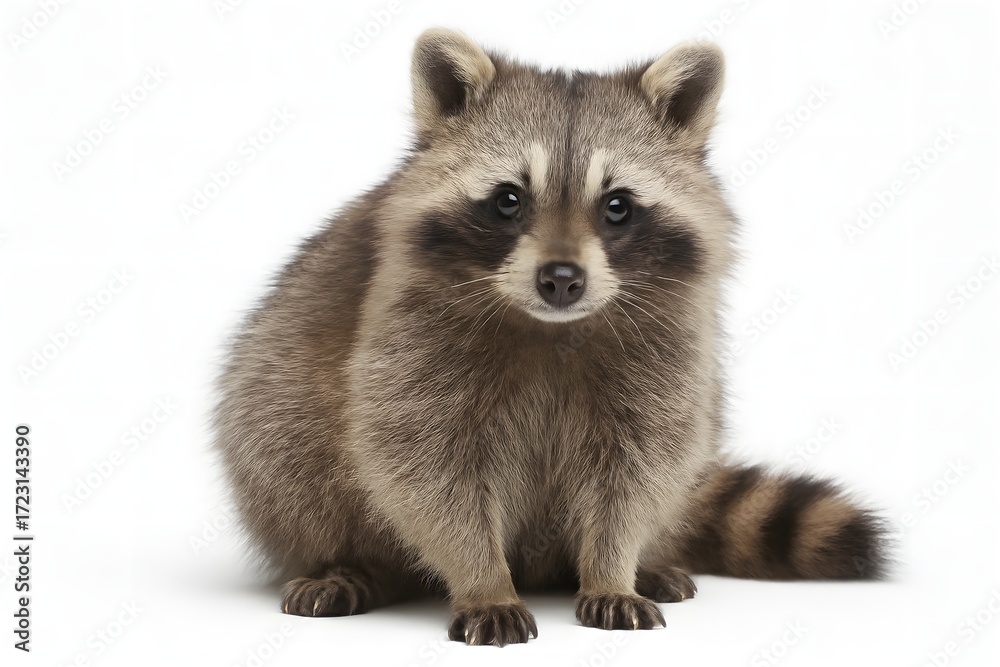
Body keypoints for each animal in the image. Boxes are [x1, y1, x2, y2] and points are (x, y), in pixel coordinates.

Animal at [213, 28, 888, 646]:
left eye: (617, 206)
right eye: (509, 199)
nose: (561, 280)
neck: (551, 327)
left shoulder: (670, 343)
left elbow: (642, 465)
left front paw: (613, 569)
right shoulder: (406, 330)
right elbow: (423, 465)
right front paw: (483, 581)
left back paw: (646, 561)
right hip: (276, 406)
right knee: (279, 441)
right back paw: (349, 563)